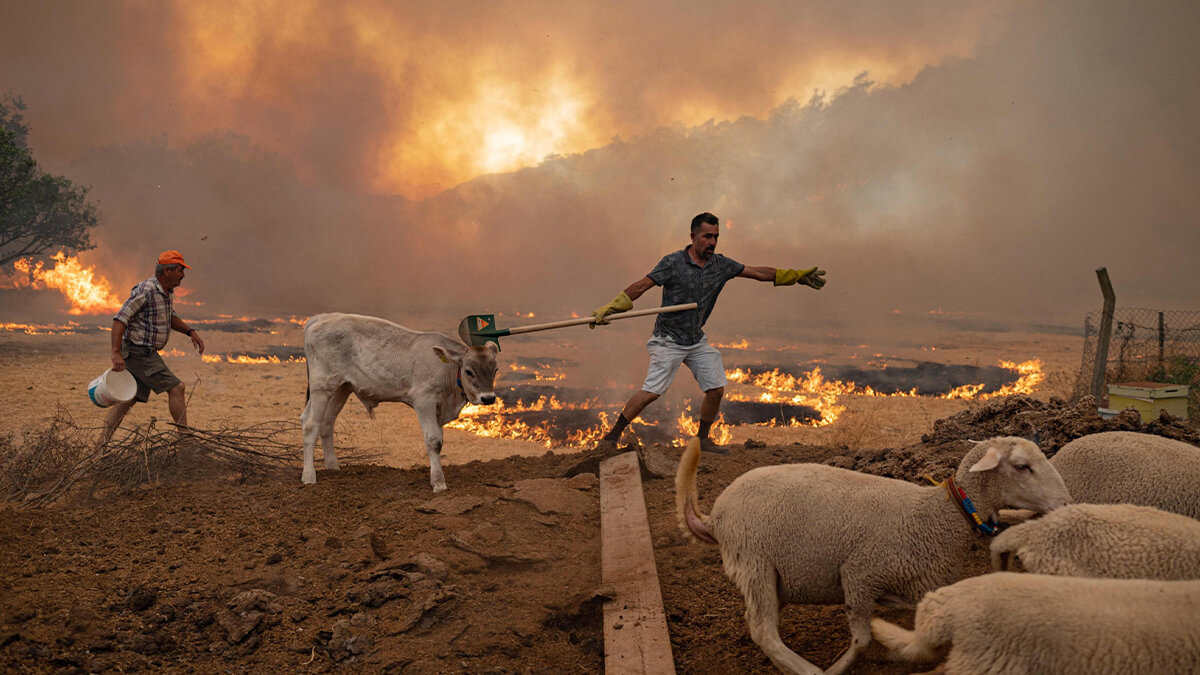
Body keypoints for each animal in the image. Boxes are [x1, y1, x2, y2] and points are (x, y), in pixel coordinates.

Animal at [672, 432, 1075, 667]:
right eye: (1022, 466)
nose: (1066, 503)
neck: (941, 515)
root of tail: (715, 517)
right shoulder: (860, 574)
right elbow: (862, 641)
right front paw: (839, 667)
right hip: (754, 560)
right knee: (763, 630)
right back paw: (806, 669)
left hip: (770, 576)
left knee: (756, 619)